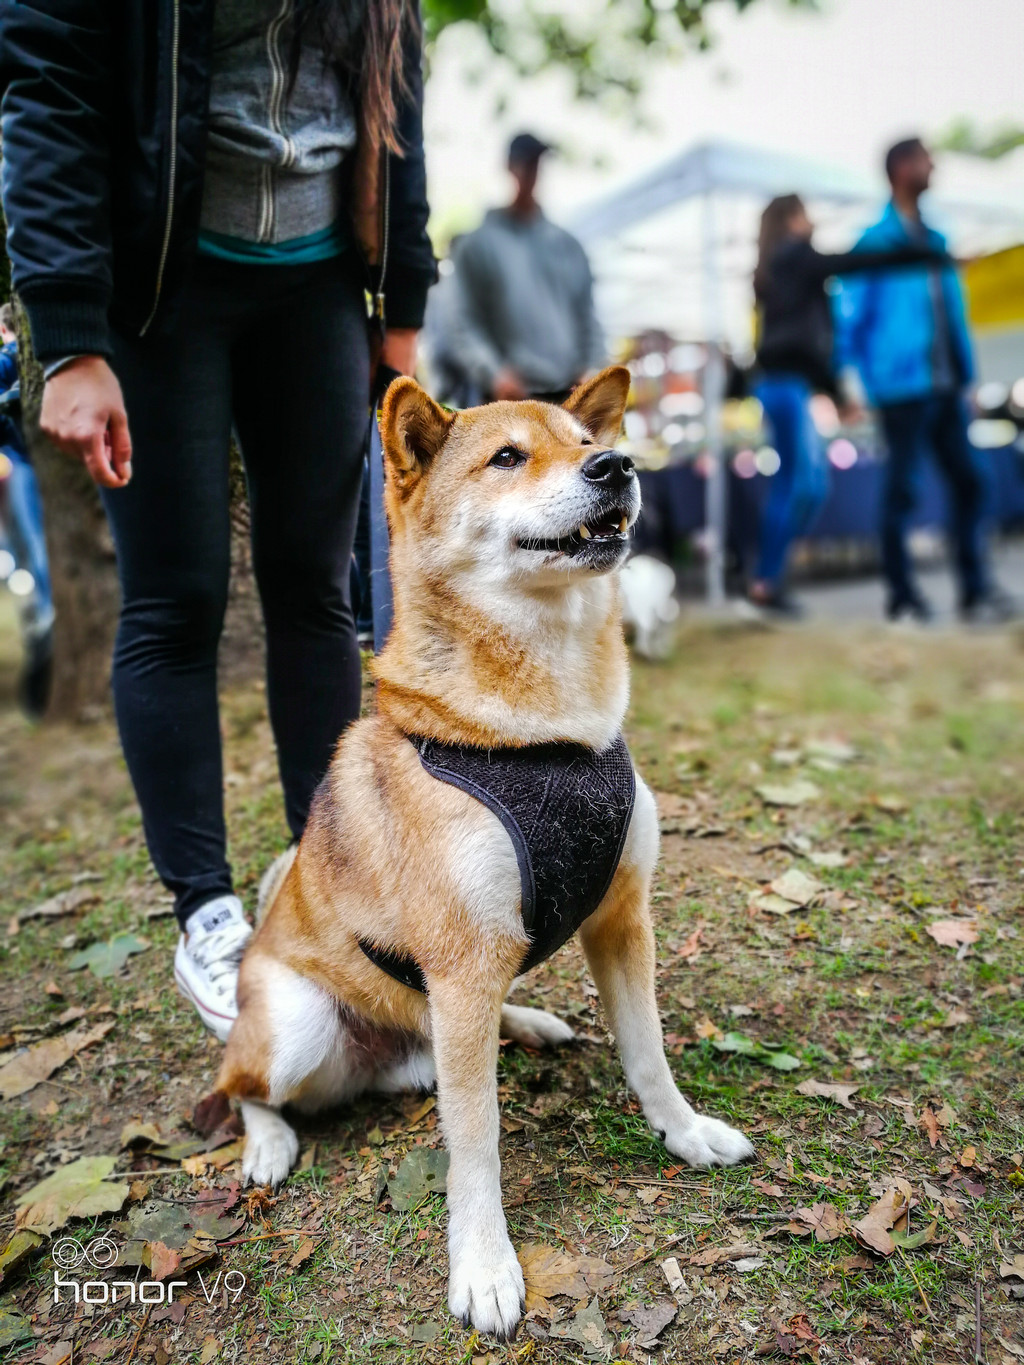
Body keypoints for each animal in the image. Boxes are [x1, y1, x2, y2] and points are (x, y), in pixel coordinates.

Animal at [221, 368, 753, 1337]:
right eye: (507, 456)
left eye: (587, 441)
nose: (617, 466)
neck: (551, 736)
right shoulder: (465, 964)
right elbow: (478, 1137)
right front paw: (483, 1264)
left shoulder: (620, 918)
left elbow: (649, 1053)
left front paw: (685, 1130)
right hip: (301, 1025)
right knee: (237, 1083)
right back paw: (270, 1141)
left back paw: (531, 1021)